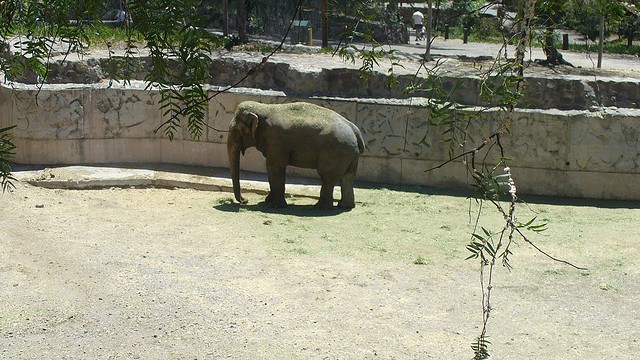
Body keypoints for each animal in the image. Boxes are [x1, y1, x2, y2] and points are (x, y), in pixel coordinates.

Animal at [228, 100, 362, 208]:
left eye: (235, 130)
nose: (245, 200)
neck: (264, 107)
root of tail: (355, 130)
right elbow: (272, 168)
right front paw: (267, 201)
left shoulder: (276, 139)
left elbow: (274, 166)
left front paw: (275, 206)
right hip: (350, 154)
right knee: (348, 176)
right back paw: (345, 206)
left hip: (336, 151)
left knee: (327, 176)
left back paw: (320, 207)